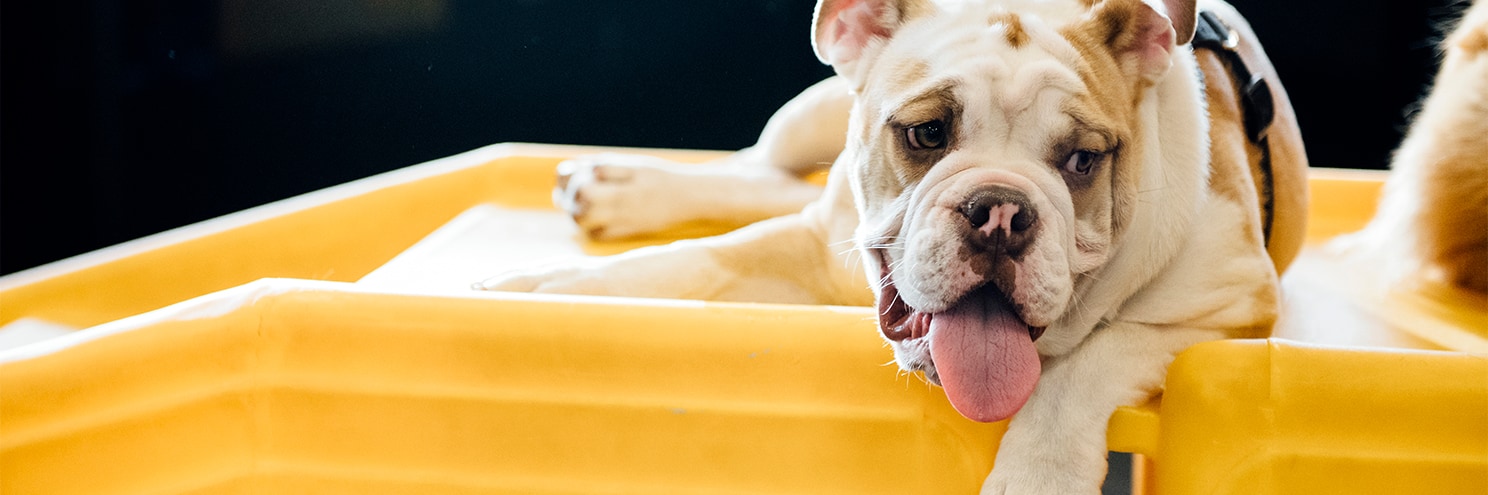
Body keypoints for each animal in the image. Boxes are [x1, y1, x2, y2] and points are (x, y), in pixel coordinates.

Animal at [479, 0, 1308, 491]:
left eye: (1081, 160)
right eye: (926, 133)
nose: (1000, 211)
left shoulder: (1228, 299)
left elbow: (1082, 368)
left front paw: (1036, 475)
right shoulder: (810, 248)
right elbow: (690, 261)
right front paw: (541, 290)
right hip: (812, 116)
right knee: (761, 168)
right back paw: (623, 185)